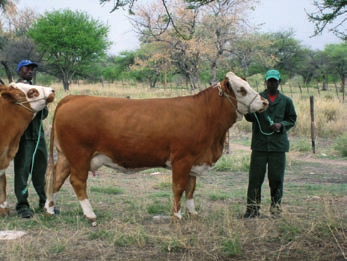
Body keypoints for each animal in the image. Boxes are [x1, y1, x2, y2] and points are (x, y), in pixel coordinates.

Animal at [45, 72, 270, 222]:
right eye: (242, 90)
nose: (265, 102)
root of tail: (72, 97)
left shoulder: (194, 161)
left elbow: (191, 189)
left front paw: (193, 213)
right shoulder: (182, 159)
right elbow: (179, 187)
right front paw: (177, 215)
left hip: (66, 156)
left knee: (56, 179)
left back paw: (50, 209)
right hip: (79, 156)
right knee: (77, 182)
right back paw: (90, 214)